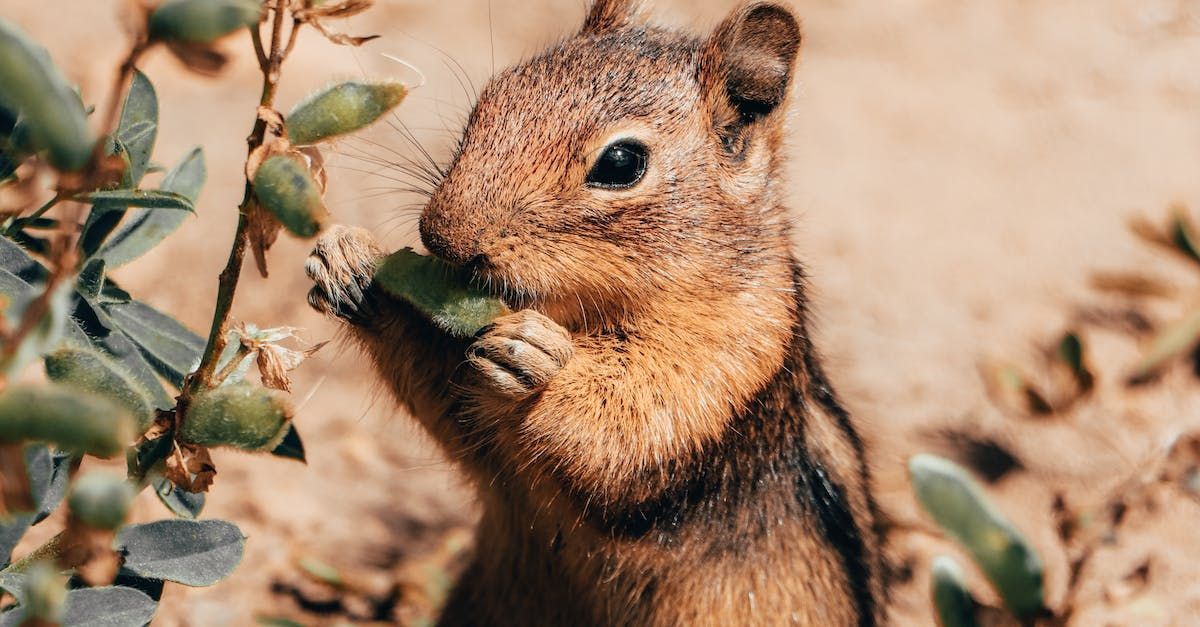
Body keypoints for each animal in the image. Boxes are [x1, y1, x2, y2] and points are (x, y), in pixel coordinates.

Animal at [306, 0, 886, 624]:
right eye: (494, 95)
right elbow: (451, 406)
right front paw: (348, 258)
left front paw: (536, 357)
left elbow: (624, 431)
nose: (441, 237)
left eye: (622, 162)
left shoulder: (728, 363)